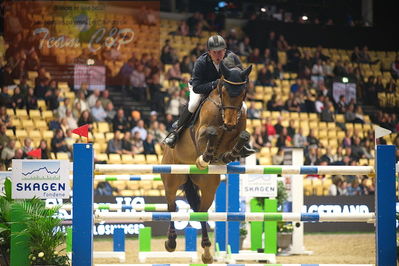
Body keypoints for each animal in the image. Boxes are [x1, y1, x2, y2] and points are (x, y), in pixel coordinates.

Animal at [160, 59, 252, 262]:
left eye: (243, 92)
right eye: (224, 91)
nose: (230, 123)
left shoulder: (236, 131)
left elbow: (243, 136)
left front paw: (229, 155)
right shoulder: (200, 133)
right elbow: (210, 133)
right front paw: (205, 157)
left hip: (208, 186)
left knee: (201, 213)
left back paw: (207, 251)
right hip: (171, 179)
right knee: (171, 206)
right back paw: (171, 242)